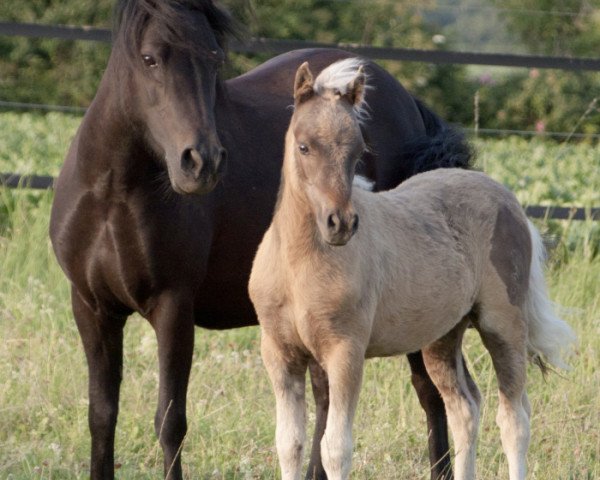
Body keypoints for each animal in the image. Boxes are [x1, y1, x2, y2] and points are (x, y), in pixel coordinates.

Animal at [51, 0, 472, 480]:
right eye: (149, 58)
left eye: (215, 59)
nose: (202, 162)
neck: (115, 193)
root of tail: (409, 105)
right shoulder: (91, 307)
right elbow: (102, 414)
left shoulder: (173, 307)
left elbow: (170, 421)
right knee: (331, 398)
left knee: (428, 391)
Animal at [246, 60, 576, 480]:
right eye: (304, 146)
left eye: (359, 150)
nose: (341, 224)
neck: (297, 265)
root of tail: (508, 199)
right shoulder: (279, 352)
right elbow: (289, 444)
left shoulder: (345, 351)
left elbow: (335, 448)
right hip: (443, 337)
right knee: (465, 408)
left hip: (503, 325)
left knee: (514, 417)